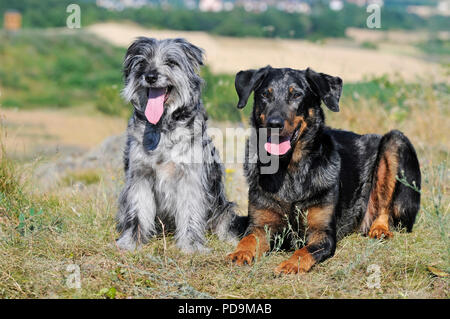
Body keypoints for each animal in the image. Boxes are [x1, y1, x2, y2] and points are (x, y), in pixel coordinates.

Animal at [114, 37, 244, 252]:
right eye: (142, 62)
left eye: (171, 62)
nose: (150, 76)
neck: (162, 127)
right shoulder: (140, 176)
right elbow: (138, 211)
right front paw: (131, 241)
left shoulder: (189, 178)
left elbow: (190, 212)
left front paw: (191, 245)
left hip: (224, 207)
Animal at [227, 65, 420, 276]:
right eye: (265, 94)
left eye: (296, 95)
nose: (274, 123)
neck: (289, 169)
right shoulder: (260, 226)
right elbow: (248, 239)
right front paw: (239, 253)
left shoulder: (322, 233)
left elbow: (304, 251)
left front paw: (290, 264)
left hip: (395, 141)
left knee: (385, 207)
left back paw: (379, 229)